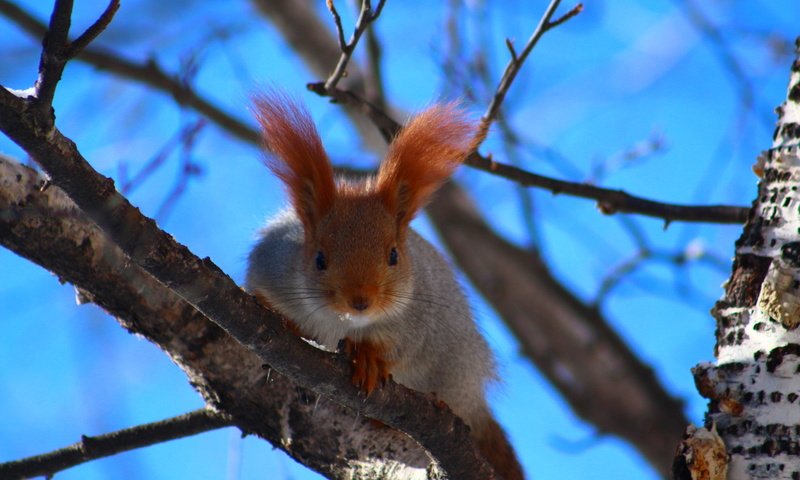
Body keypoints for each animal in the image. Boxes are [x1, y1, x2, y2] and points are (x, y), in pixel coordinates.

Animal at [247, 91, 528, 480]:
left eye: (394, 255)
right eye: (319, 259)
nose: (360, 301)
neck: (339, 323)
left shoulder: (415, 323)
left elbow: (397, 348)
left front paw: (367, 357)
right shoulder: (270, 265)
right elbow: (258, 293)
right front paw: (283, 320)